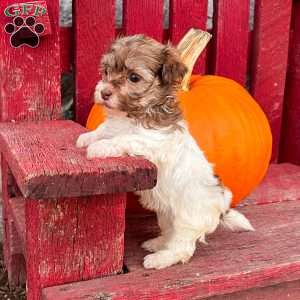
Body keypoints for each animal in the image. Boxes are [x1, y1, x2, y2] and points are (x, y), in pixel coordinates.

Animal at [75, 34, 253, 270]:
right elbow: (105, 129)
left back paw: (160, 259)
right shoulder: (116, 126)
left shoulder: (153, 141)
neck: (136, 113)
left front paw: (99, 147)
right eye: (106, 71)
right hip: (165, 212)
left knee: (183, 247)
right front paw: (87, 138)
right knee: (169, 232)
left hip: (188, 217)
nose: (104, 92)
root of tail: (222, 204)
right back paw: (157, 243)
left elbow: (125, 138)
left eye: (134, 77)